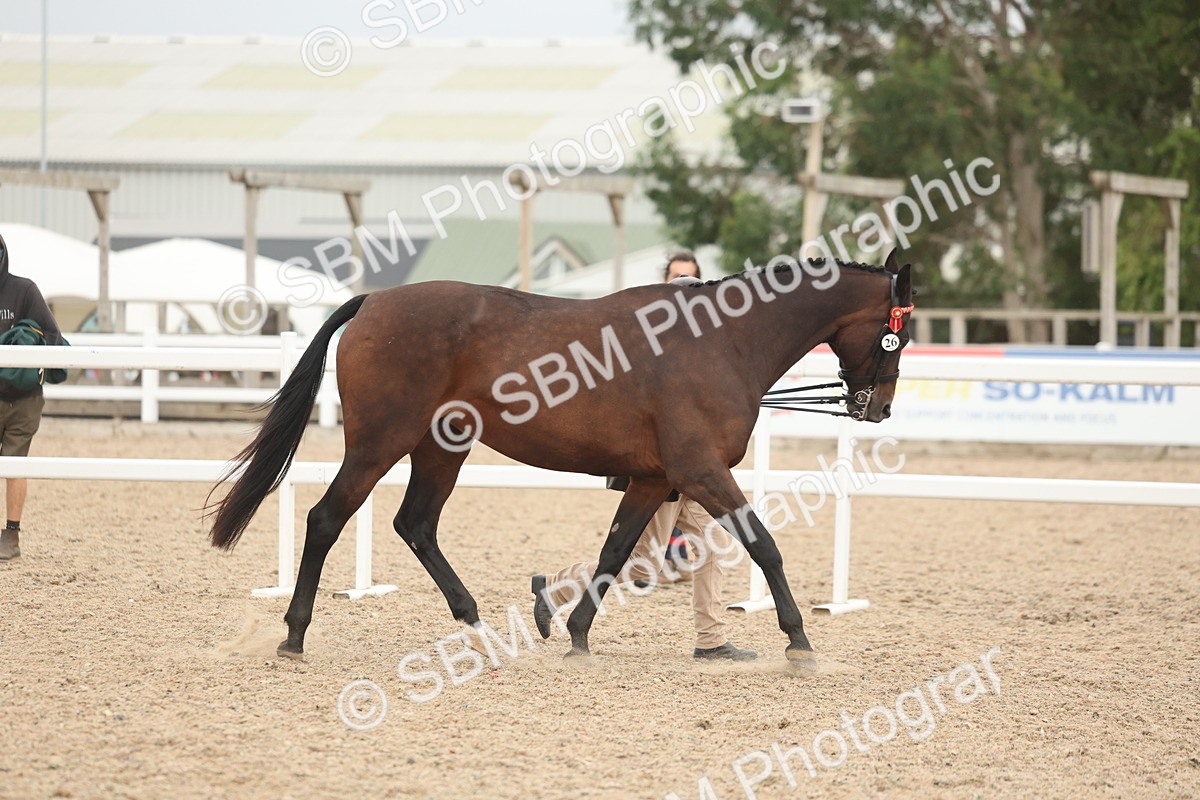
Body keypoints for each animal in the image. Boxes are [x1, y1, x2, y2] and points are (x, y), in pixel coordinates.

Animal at [206, 251, 915, 664]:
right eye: (899, 330)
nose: (876, 408)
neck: (724, 341)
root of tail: (374, 301)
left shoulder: (653, 478)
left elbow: (614, 551)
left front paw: (574, 633)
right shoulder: (701, 472)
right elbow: (764, 544)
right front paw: (798, 638)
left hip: (443, 446)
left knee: (417, 525)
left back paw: (479, 628)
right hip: (382, 442)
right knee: (328, 519)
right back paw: (294, 635)